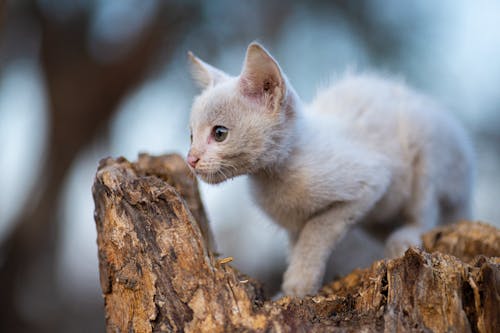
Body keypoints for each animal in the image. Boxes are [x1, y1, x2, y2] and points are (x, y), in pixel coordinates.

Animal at [187, 42, 472, 296]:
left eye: (219, 133)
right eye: (191, 135)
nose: (191, 159)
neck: (276, 174)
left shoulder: (370, 182)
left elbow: (318, 229)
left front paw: (299, 283)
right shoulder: (294, 225)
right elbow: (298, 244)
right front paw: (292, 290)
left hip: (426, 149)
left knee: (426, 211)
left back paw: (404, 237)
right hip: (379, 215)